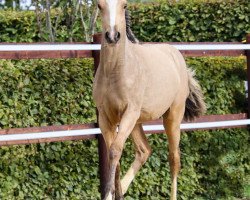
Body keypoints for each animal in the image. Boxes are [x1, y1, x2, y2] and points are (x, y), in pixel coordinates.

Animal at [93, 0, 206, 199]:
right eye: (99, 5)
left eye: (124, 5)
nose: (112, 36)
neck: (115, 72)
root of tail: (176, 56)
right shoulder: (106, 117)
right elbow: (114, 155)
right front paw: (116, 193)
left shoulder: (129, 113)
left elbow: (114, 151)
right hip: (136, 122)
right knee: (144, 151)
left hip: (172, 117)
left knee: (174, 159)